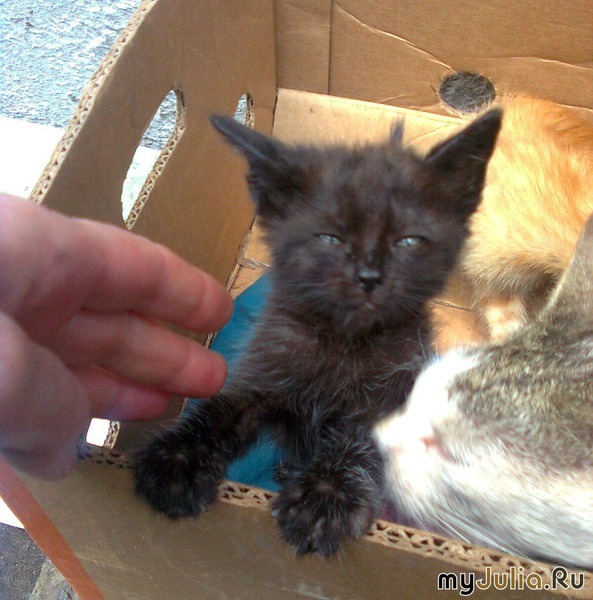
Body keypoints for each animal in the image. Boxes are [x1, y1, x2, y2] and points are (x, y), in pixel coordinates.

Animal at [132, 109, 502, 556]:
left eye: (409, 241)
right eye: (329, 237)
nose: (369, 276)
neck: (342, 342)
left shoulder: (393, 392)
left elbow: (357, 439)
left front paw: (325, 497)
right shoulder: (266, 368)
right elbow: (223, 408)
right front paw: (176, 460)